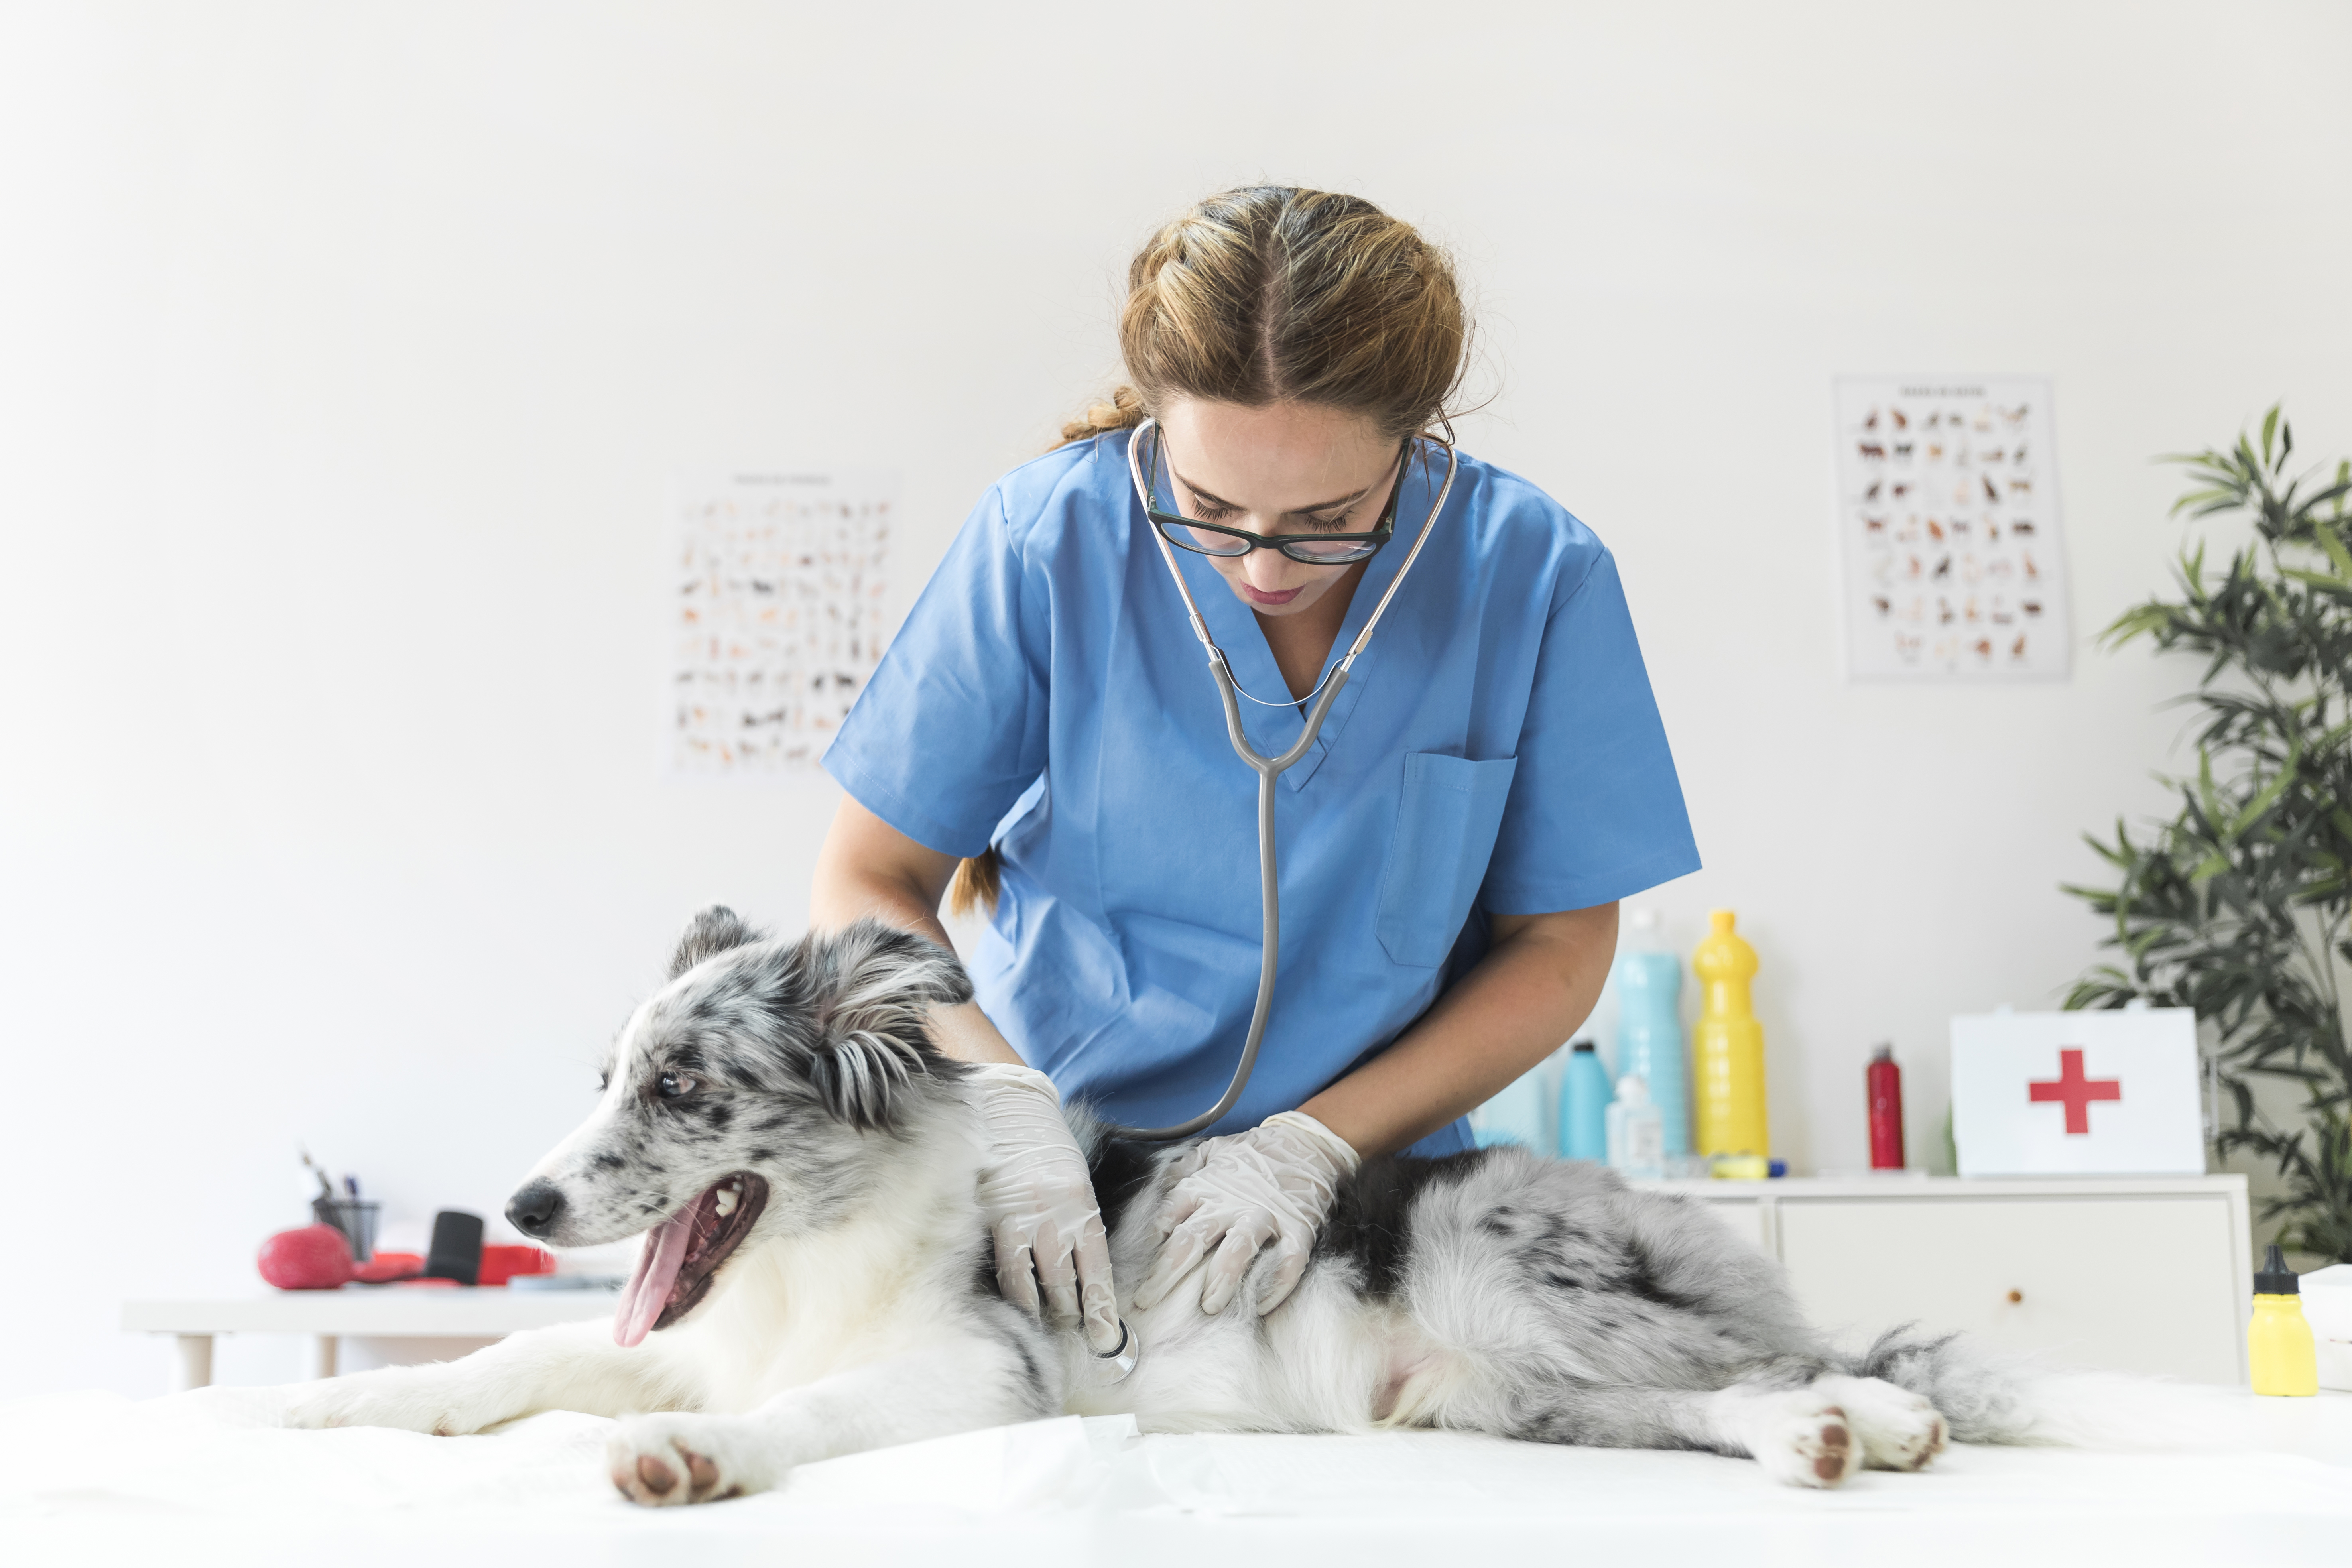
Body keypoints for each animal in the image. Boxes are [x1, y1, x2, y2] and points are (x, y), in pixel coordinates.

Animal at [284, 921, 2060, 1504]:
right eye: (605, 1077)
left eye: (677, 1084)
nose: (520, 1199)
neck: (808, 1257)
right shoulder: (688, 1333)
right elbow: (510, 1359)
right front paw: (342, 1401)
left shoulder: (975, 1371)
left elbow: (806, 1411)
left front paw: (698, 1457)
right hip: (1501, 1396)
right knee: (1713, 1400)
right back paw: (1827, 1437)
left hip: (1505, 1278)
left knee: (1790, 1353)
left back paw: (1872, 1415)